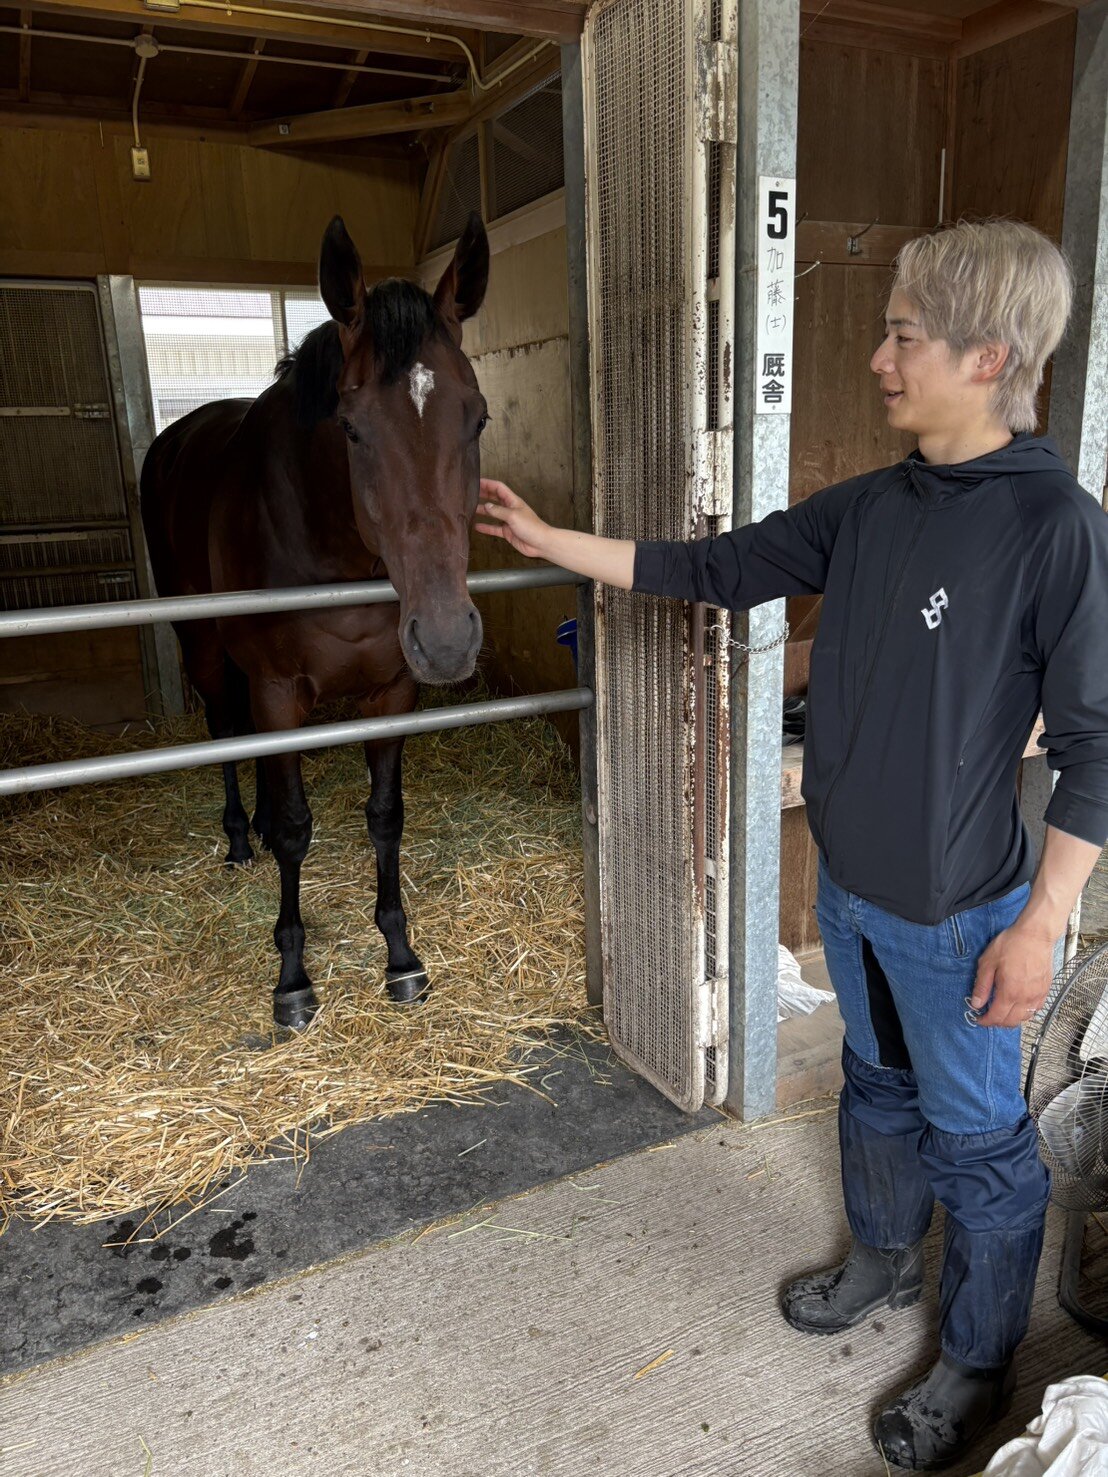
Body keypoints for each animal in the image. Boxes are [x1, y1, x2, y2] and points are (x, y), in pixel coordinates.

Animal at [140, 212, 491, 1031]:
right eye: (352, 428)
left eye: (479, 418)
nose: (447, 639)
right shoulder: (278, 689)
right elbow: (301, 829)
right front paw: (293, 979)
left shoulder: (393, 690)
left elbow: (385, 815)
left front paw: (401, 956)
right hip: (207, 651)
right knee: (228, 731)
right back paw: (243, 838)